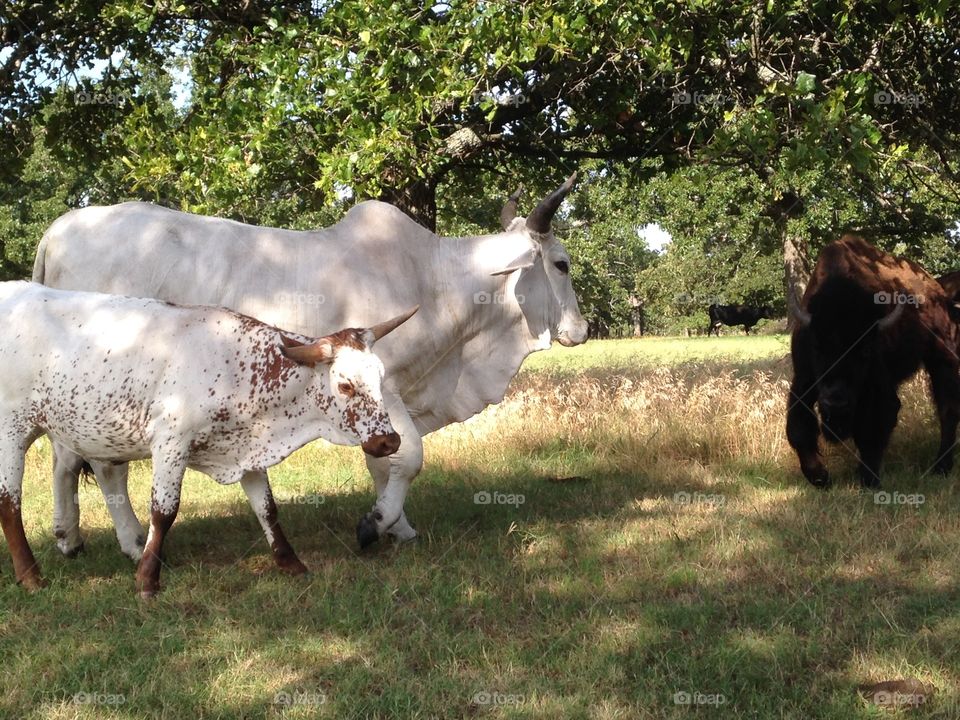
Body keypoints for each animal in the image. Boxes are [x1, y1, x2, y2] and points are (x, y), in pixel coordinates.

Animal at [0, 282, 416, 596]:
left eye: (380, 378)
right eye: (345, 385)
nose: (388, 442)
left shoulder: (246, 452)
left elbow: (267, 509)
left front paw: (291, 563)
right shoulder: (171, 442)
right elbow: (164, 511)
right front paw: (147, 581)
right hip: (12, 429)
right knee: (11, 503)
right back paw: (32, 577)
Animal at [35, 174, 584, 552]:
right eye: (561, 264)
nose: (580, 330)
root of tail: (57, 230)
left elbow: (382, 462)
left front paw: (397, 527)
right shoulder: (384, 385)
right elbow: (408, 457)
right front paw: (376, 525)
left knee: (66, 459)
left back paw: (69, 537)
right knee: (105, 467)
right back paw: (132, 543)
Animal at [788, 236, 960, 490]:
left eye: (866, 351)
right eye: (817, 347)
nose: (836, 402)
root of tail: (939, 291)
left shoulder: (878, 387)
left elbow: (874, 427)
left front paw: (869, 480)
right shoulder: (803, 381)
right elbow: (798, 428)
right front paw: (820, 478)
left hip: (942, 360)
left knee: (947, 410)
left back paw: (941, 467)